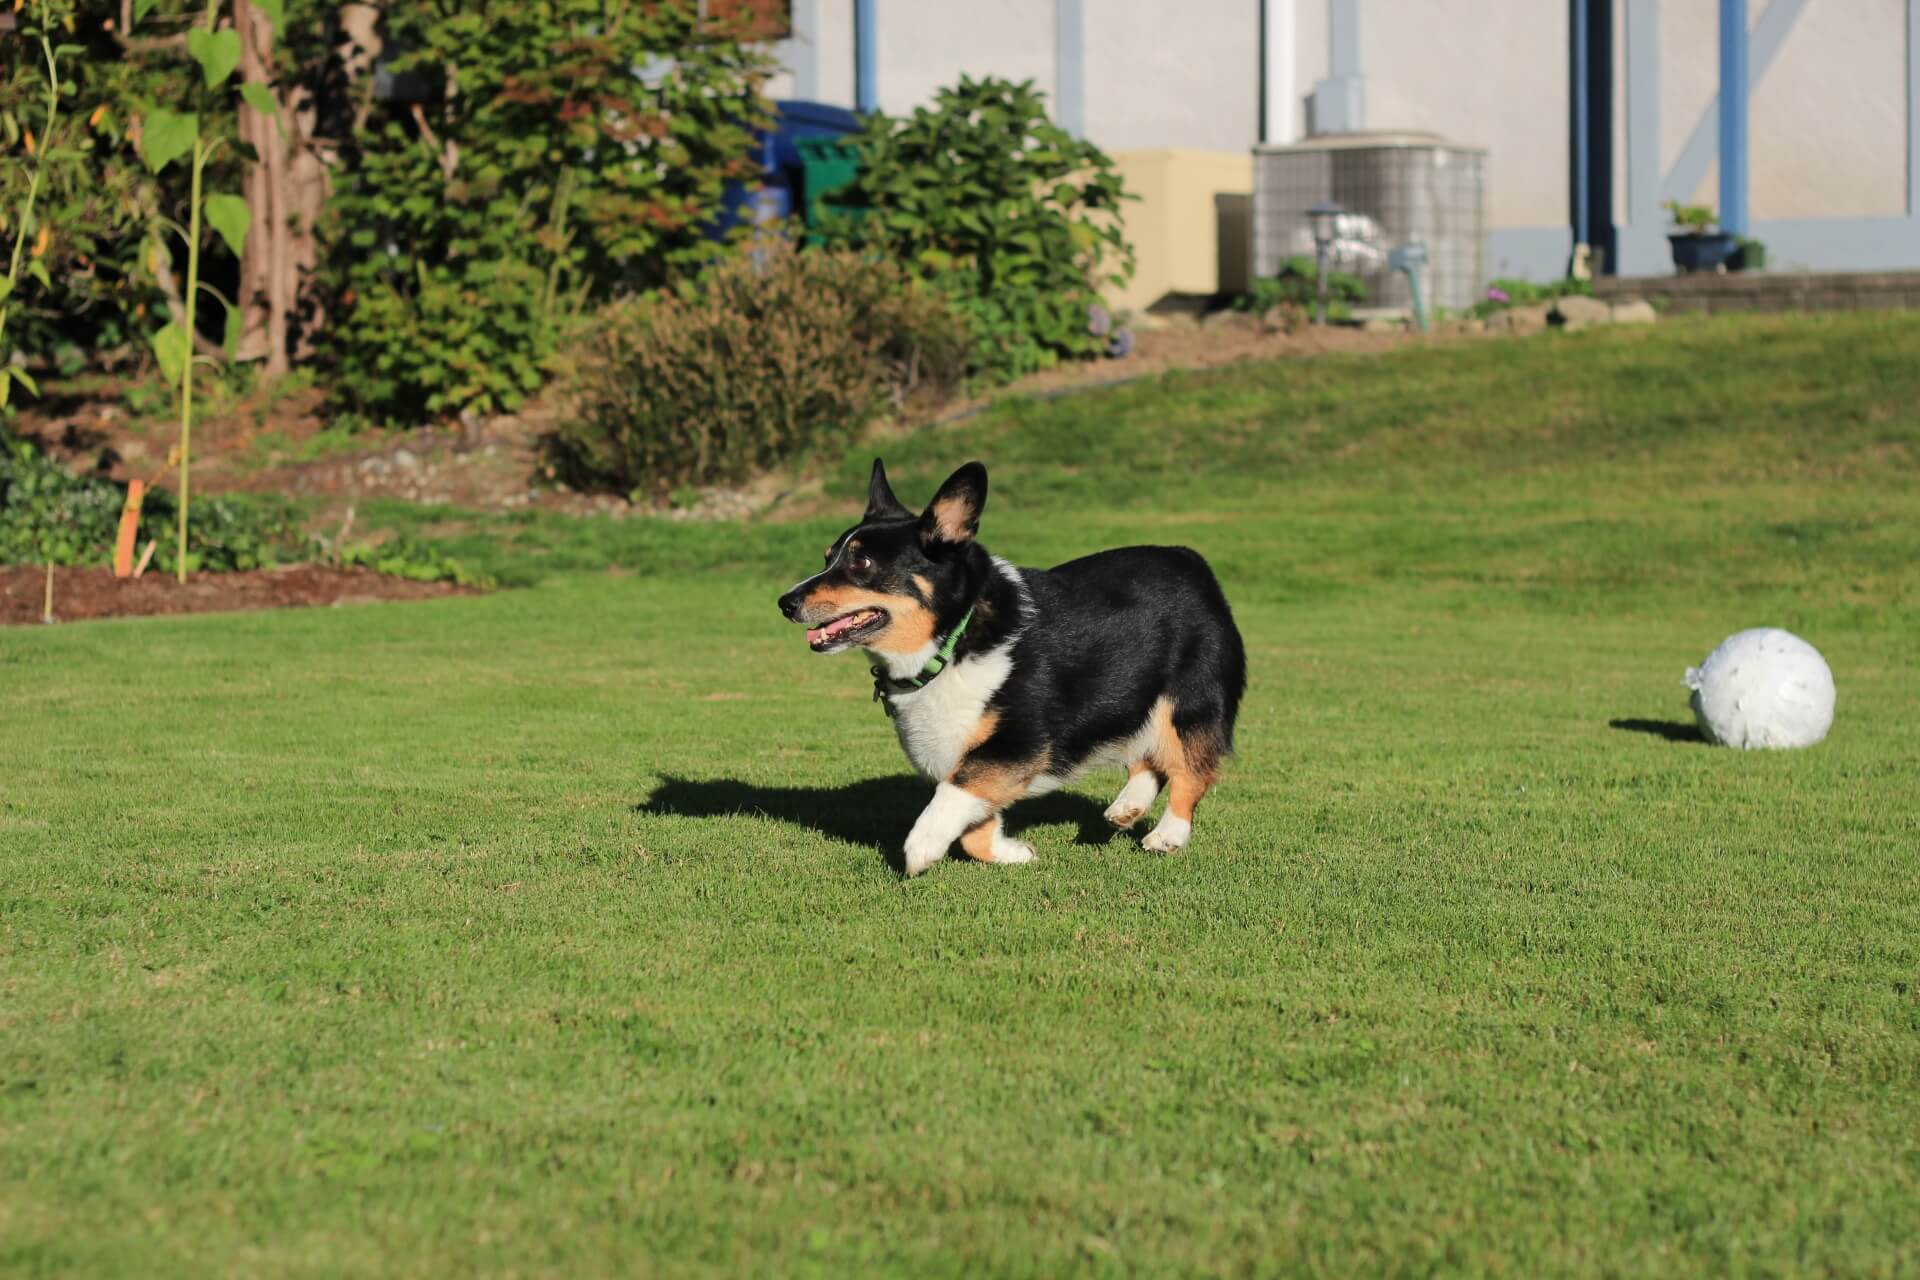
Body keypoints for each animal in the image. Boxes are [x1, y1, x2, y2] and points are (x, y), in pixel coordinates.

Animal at [779, 466, 1244, 875]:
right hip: (1132, 701)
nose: (785, 602)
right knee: (1148, 760)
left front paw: (920, 850)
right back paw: (1126, 808)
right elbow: (974, 828)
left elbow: (950, 795)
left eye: (862, 564)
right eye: (828, 558)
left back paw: (1168, 835)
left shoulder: (1017, 743)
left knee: (1192, 770)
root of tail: (1191, 560)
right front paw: (1014, 853)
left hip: (1188, 702)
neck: (952, 639)